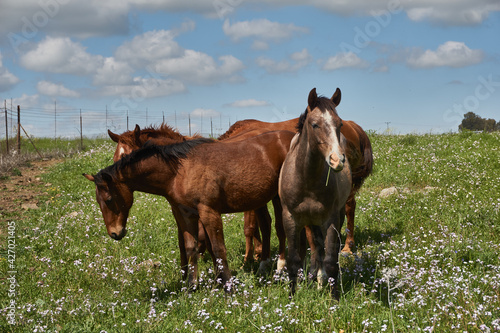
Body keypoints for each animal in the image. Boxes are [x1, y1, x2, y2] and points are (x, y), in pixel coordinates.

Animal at [84, 130, 294, 288]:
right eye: (98, 201)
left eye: (109, 199)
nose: (115, 233)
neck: (179, 171)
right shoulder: (186, 215)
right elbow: (190, 247)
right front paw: (192, 286)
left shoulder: (209, 213)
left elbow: (217, 249)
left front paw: (227, 286)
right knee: (267, 225)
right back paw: (265, 266)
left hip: (280, 198)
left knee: (282, 228)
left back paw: (281, 267)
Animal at [278, 87, 352, 296]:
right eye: (314, 124)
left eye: (339, 124)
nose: (337, 160)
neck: (306, 181)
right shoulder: (290, 219)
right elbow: (294, 261)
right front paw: (291, 296)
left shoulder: (331, 220)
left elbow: (331, 261)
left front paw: (334, 299)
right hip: (310, 222)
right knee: (316, 249)